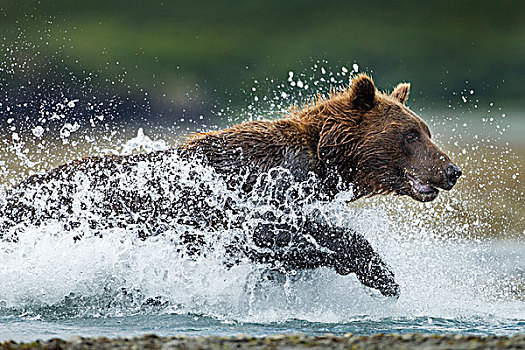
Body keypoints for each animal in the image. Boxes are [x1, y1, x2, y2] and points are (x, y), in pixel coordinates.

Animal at [0, 74, 458, 298]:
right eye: (410, 134)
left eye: (426, 129)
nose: (451, 170)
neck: (321, 163)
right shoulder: (247, 195)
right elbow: (283, 233)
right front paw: (382, 275)